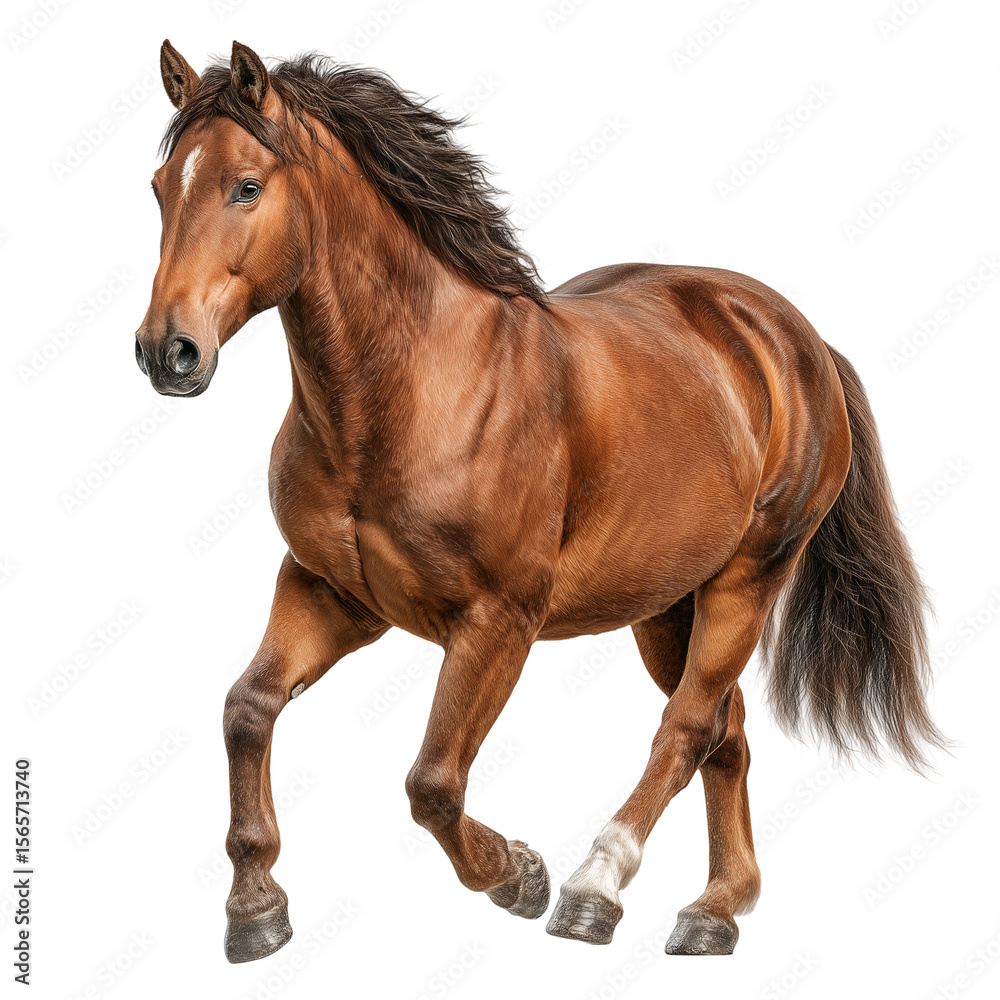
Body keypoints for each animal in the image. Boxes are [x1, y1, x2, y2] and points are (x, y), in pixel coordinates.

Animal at [137, 40, 946, 963]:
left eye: (245, 186)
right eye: (160, 188)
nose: (167, 351)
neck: (407, 392)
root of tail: (794, 335)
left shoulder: (498, 621)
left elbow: (433, 783)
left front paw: (519, 875)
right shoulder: (330, 593)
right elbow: (247, 708)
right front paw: (255, 907)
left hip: (748, 578)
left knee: (686, 728)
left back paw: (595, 889)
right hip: (666, 604)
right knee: (725, 730)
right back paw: (714, 910)